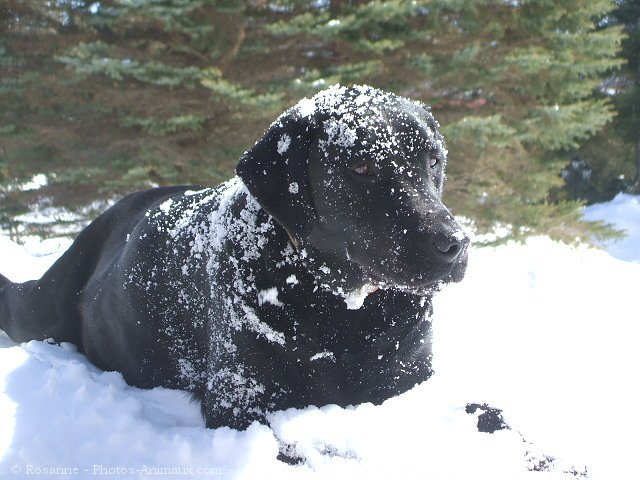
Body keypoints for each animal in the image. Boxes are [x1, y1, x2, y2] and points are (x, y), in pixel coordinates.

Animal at [0, 85, 470, 428]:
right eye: (361, 167)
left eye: (433, 160)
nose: (456, 243)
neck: (343, 313)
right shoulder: (241, 401)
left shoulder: (409, 378)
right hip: (42, 306)